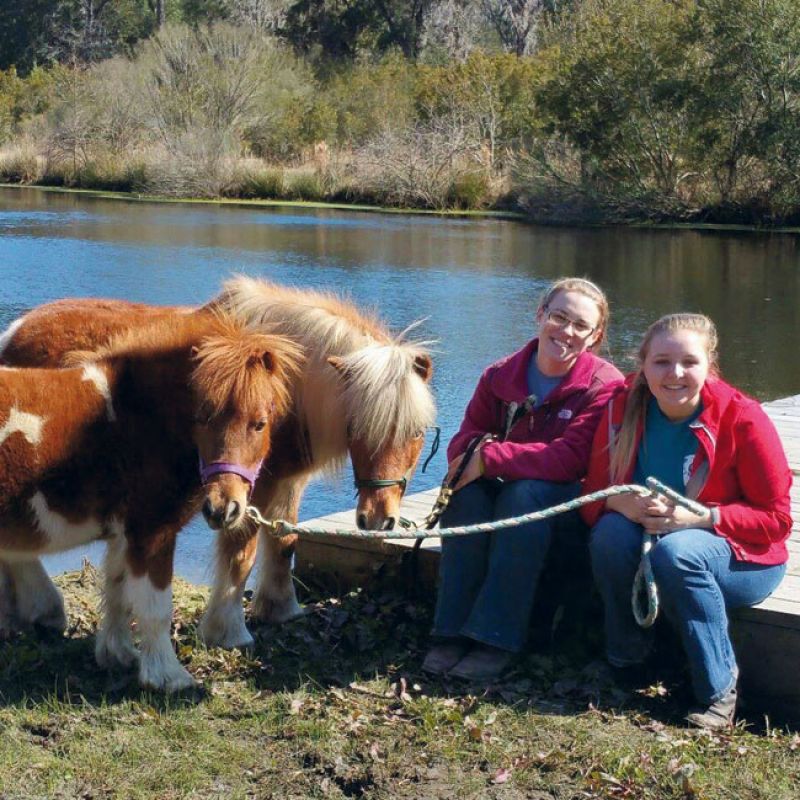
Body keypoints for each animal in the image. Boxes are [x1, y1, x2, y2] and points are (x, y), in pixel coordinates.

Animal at [0, 278, 436, 650]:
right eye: (357, 425)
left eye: (418, 431)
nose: (378, 520)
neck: (288, 392)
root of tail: (17, 330)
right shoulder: (249, 491)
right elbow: (242, 554)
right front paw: (230, 632)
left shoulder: (286, 483)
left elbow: (284, 543)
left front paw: (281, 610)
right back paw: (46, 610)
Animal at [0, 310, 300, 691]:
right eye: (202, 417)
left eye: (259, 424)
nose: (223, 508)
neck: (139, 416)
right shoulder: (152, 533)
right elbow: (156, 607)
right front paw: (169, 677)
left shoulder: (125, 534)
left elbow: (118, 593)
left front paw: (119, 656)